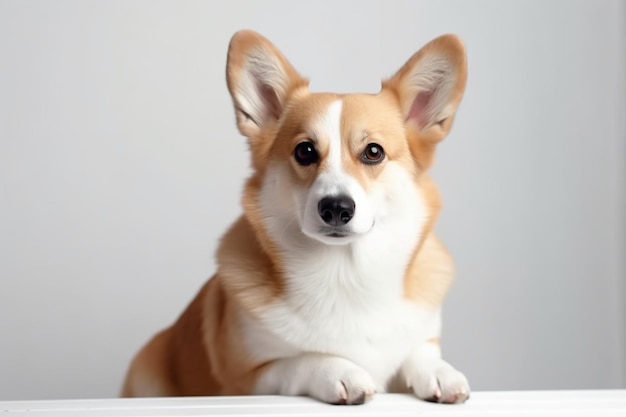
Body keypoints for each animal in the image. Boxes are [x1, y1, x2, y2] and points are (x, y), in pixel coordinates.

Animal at [120, 28, 468, 404]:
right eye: (305, 151)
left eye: (373, 152)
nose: (336, 208)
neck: (345, 272)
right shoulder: (248, 380)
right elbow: (304, 359)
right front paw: (344, 372)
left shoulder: (423, 336)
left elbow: (419, 352)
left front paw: (441, 373)